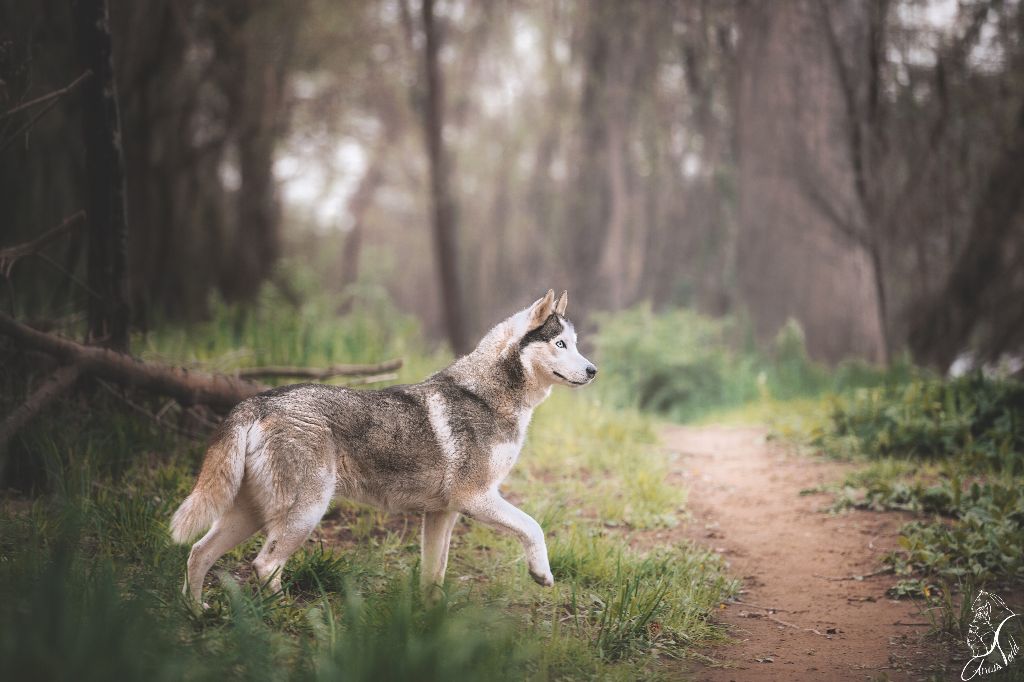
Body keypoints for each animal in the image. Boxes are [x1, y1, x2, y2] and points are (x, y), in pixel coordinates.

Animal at [171, 286, 598, 602]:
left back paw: (197, 614)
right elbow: (533, 527)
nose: (593, 370)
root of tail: (256, 401)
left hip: (251, 516)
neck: (486, 397)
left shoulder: (442, 513)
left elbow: (434, 575)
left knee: (197, 553)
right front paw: (541, 574)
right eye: (561, 344)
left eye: (575, 344)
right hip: (305, 514)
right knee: (263, 566)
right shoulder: (476, 498)